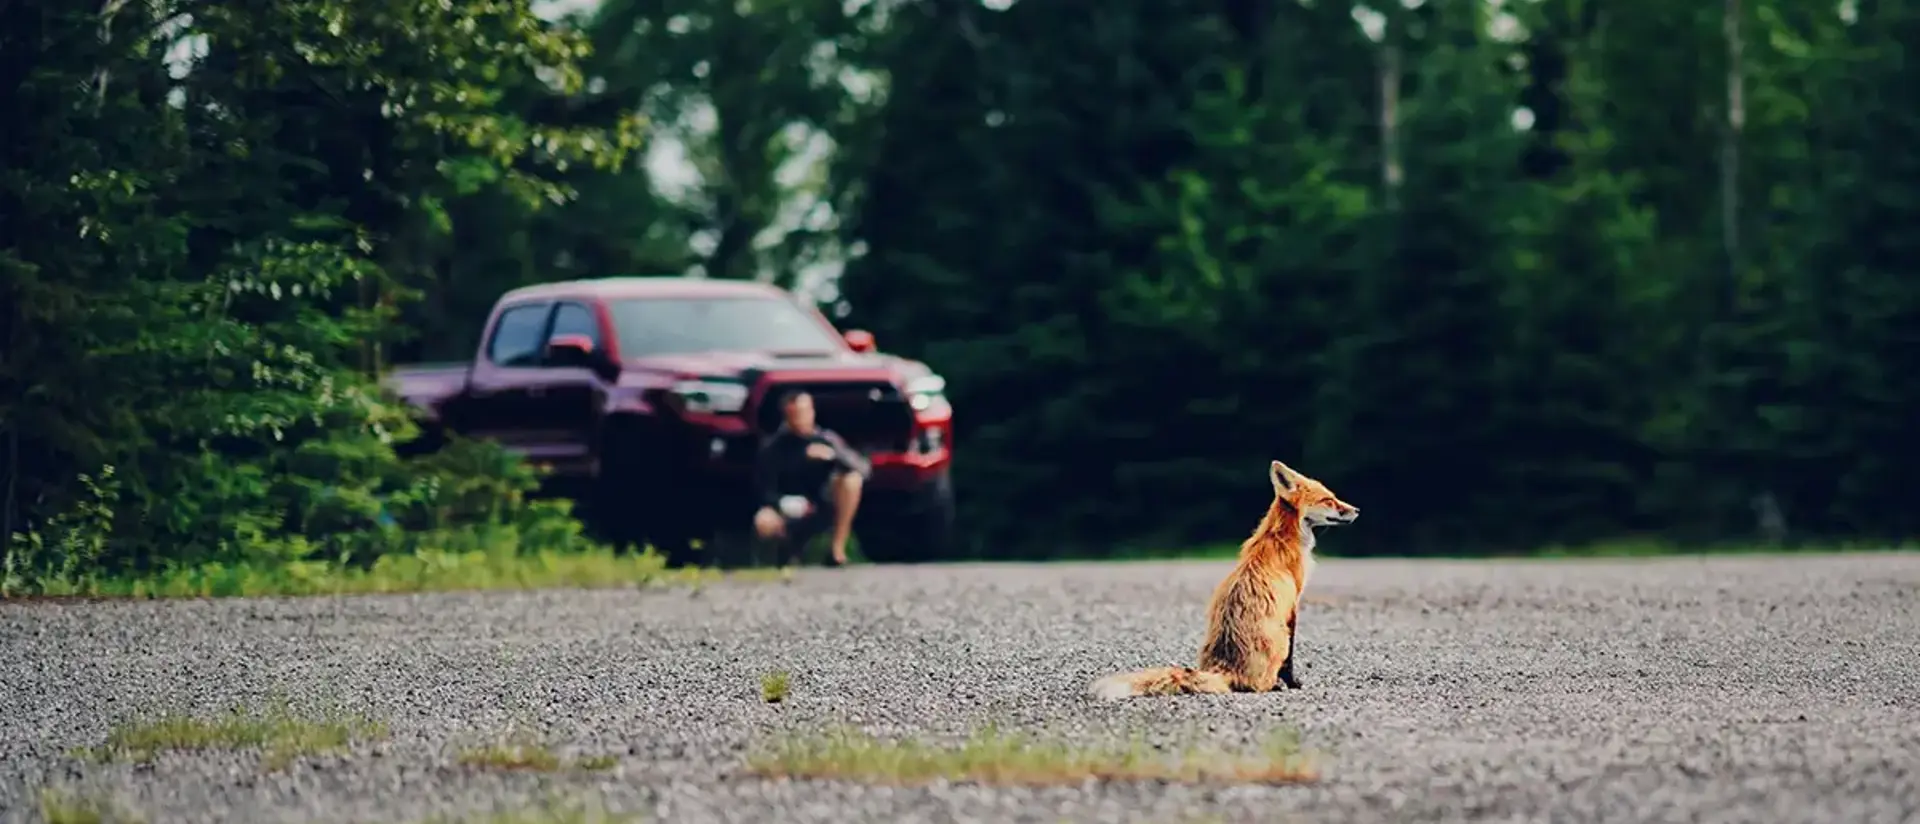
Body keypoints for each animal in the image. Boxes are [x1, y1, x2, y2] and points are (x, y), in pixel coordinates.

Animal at [1090, 459, 1359, 695]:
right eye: (1328, 500)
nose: (1357, 510)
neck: (1282, 537)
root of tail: (1225, 668)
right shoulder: (1293, 605)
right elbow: (1290, 661)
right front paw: (1293, 683)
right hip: (1280, 636)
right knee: (1260, 682)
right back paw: (1273, 685)